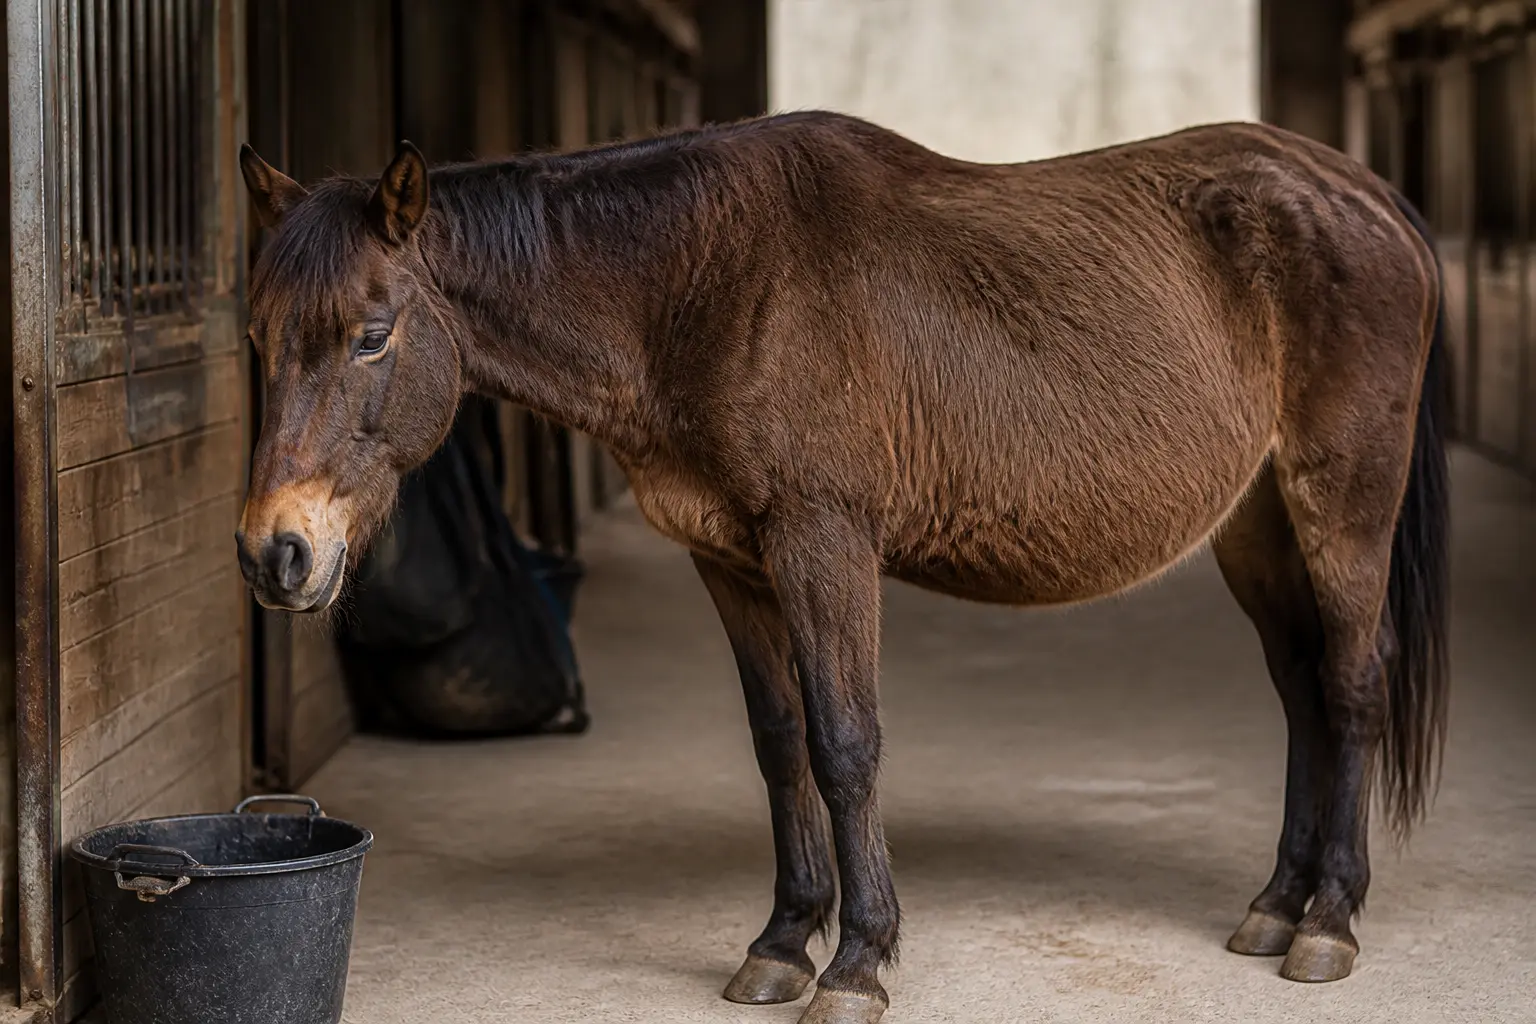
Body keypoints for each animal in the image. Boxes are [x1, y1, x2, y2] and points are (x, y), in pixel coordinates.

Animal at [235, 110, 1450, 1024]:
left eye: (373, 334)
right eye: (257, 337)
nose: (274, 551)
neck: (709, 286)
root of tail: (1364, 193)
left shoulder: (826, 544)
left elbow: (846, 744)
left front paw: (858, 964)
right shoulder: (730, 562)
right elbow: (781, 746)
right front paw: (781, 944)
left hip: (1341, 502)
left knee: (1351, 684)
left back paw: (1329, 922)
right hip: (1256, 524)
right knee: (1302, 691)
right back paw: (1277, 904)